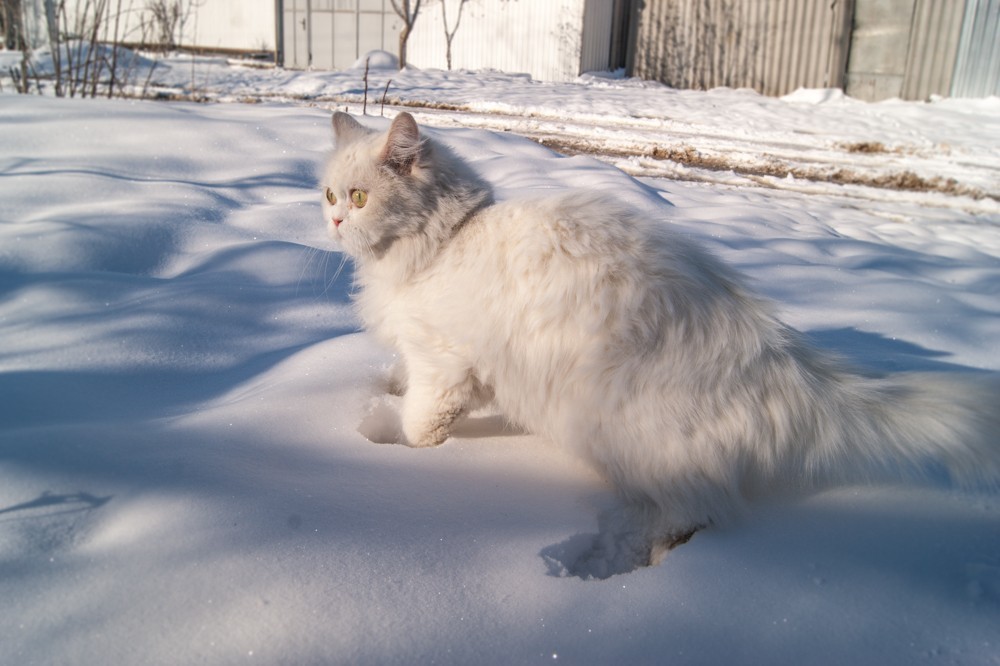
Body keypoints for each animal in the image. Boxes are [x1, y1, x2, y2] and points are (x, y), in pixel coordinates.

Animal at [320, 110, 1000, 576]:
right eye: (328, 194)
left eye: (359, 198)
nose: (331, 221)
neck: (448, 240)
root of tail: (781, 361)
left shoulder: (444, 363)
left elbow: (423, 424)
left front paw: (405, 457)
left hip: (629, 434)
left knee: (693, 514)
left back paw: (638, 561)